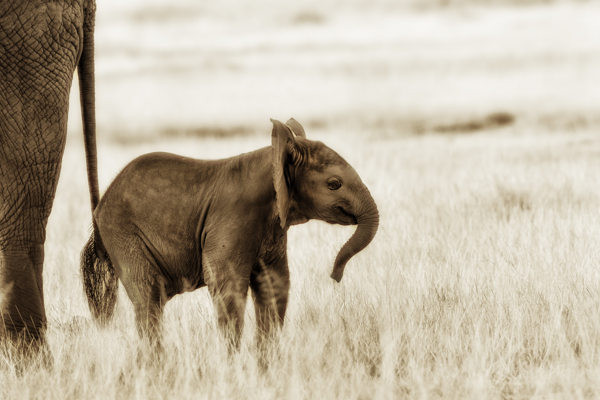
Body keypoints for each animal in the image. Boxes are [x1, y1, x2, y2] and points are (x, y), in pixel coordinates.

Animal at [81, 118, 380, 346]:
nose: (334, 277)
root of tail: (100, 207)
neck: (276, 158)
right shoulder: (234, 217)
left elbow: (275, 285)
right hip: (123, 233)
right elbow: (228, 287)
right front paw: (233, 365)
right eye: (334, 184)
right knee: (148, 299)